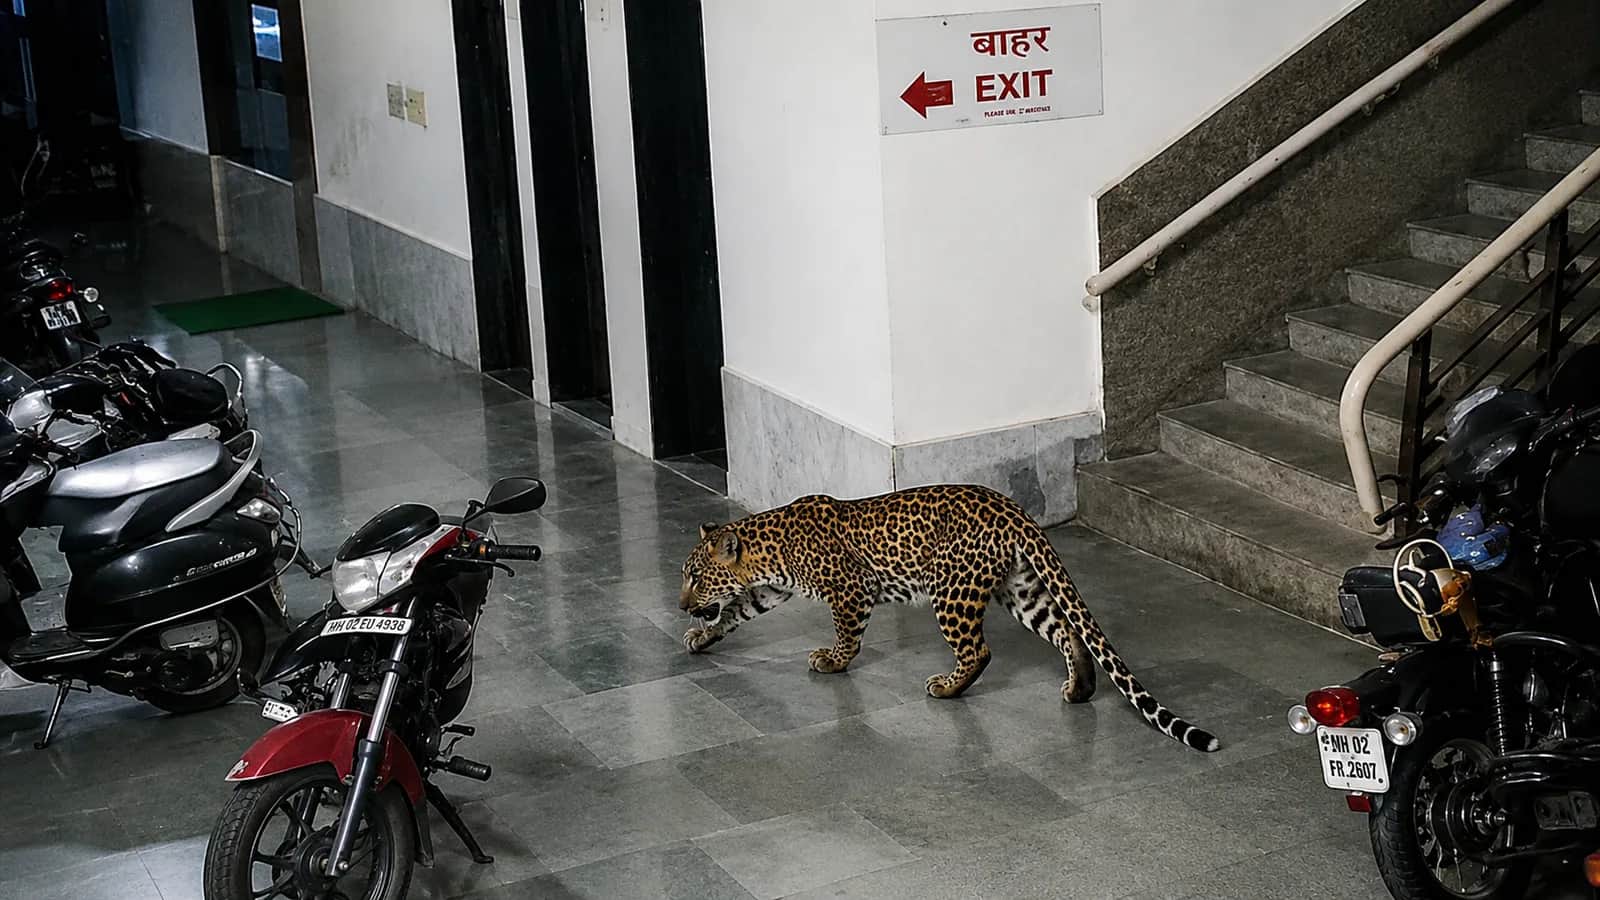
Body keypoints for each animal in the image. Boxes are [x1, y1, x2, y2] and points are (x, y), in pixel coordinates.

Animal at [678, 484, 1220, 752]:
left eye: (696, 578)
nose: (680, 604)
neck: (766, 550)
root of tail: (1014, 510)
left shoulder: (850, 589)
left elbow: (847, 634)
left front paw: (833, 661)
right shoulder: (770, 590)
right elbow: (737, 611)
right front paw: (701, 637)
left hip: (953, 594)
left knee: (979, 650)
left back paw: (947, 687)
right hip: (1019, 589)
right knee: (1066, 629)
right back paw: (1079, 688)